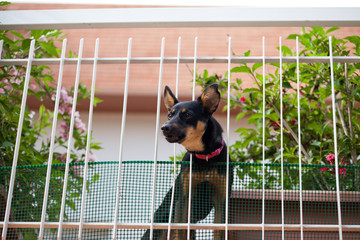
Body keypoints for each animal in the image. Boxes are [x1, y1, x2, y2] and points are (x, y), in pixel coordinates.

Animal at [142, 84, 232, 240]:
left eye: (188, 115)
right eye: (170, 115)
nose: (164, 127)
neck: (205, 157)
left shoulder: (221, 200)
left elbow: (219, 231)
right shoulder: (183, 199)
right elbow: (180, 229)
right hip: (164, 221)